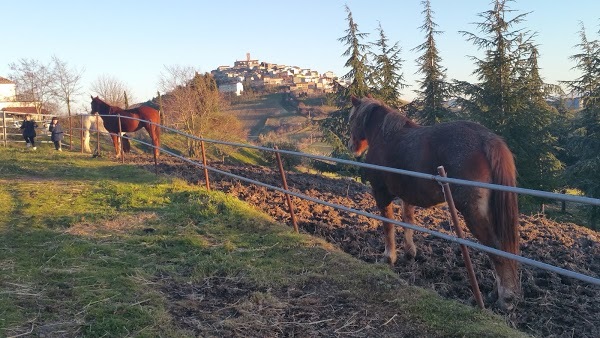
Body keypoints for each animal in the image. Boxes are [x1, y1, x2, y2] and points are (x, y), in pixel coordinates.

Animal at [346, 96, 520, 310]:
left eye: (352, 119)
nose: (351, 146)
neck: (385, 136)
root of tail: (485, 138)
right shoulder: (407, 195)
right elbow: (408, 221)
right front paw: (409, 253)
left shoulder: (381, 193)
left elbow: (388, 226)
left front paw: (388, 257)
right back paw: (494, 294)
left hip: (474, 213)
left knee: (496, 248)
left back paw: (505, 298)